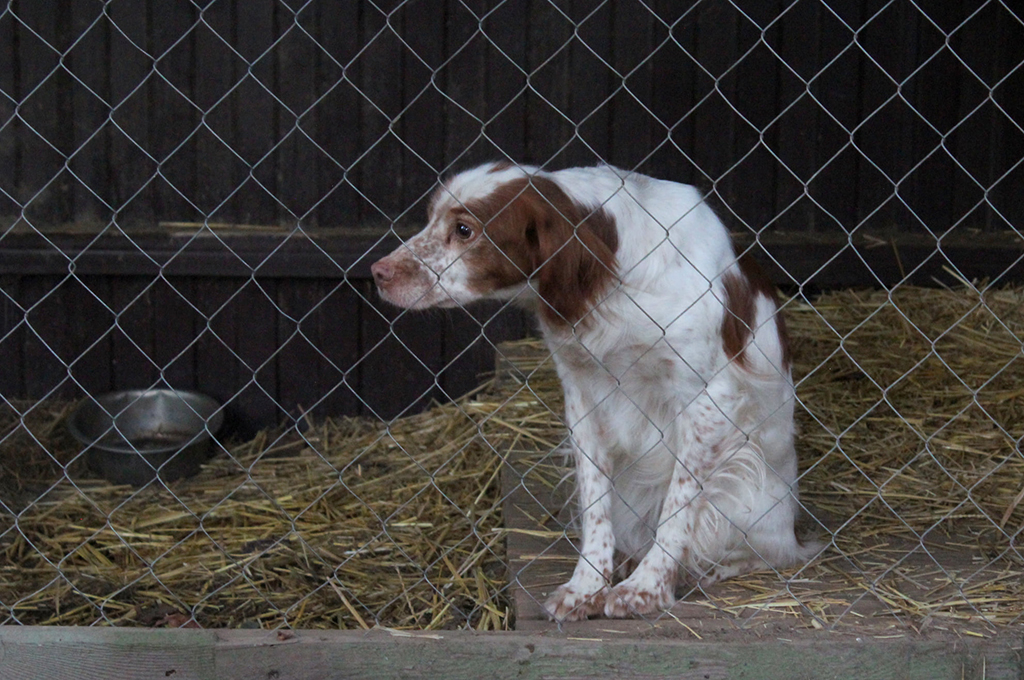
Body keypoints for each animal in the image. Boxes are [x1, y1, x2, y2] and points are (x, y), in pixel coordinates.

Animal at [372, 161, 819, 618]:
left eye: (464, 230)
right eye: (431, 218)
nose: (378, 272)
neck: (615, 282)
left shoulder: (708, 400)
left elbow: (677, 508)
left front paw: (647, 587)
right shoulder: (582, 396)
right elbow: (594, 504)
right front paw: (587, 586)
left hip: (750, 498)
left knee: (773, 552)